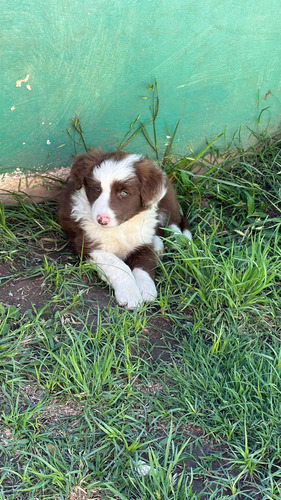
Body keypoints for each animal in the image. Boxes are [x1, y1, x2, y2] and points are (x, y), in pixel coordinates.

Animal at [58, 149, 191, 308]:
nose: (101, 220)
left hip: (167, 202)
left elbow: (143, 265)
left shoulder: (143, 240)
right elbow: (118, 265)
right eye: (97, 189)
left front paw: (146, 289)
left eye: (124, 193)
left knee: (174, 222)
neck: (120, 227)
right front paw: (130, 294)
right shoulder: (90, 245)